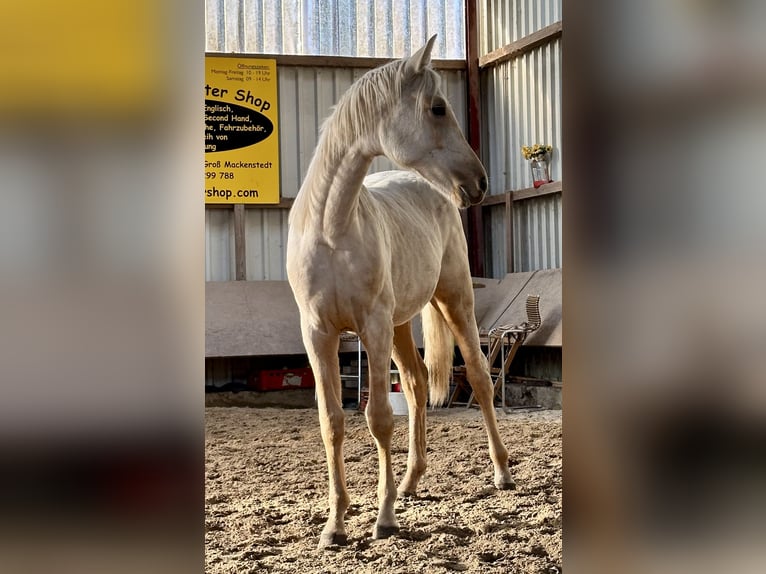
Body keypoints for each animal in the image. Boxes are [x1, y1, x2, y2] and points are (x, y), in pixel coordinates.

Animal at [284, 35, 512, 548]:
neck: (331, 230)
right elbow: (332, 421)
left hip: (453, 301)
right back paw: (411, 481)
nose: (480, 183)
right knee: (416, 382)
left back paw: (502, 473)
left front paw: (384, 518)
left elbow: (379, 419)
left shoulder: (372, 327)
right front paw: (335, 525)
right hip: (403, 324)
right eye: (437, 108)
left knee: (479, 377)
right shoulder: (318, 334)